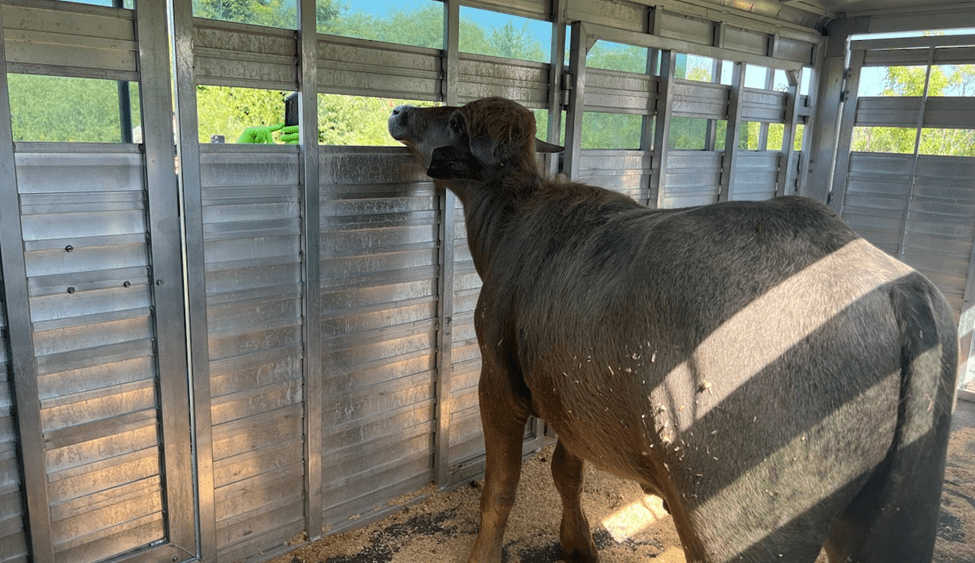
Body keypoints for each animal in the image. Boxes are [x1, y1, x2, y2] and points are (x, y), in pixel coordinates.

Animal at [386, 98, 956, 563]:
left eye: (455, 118)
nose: (399, 110)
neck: (512, 220)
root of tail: (900, 291)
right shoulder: (572, 399)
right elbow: (567, 472)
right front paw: (579, 543)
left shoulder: (499, 383)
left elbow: (500, 490)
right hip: (892, 519)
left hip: (737, 527)